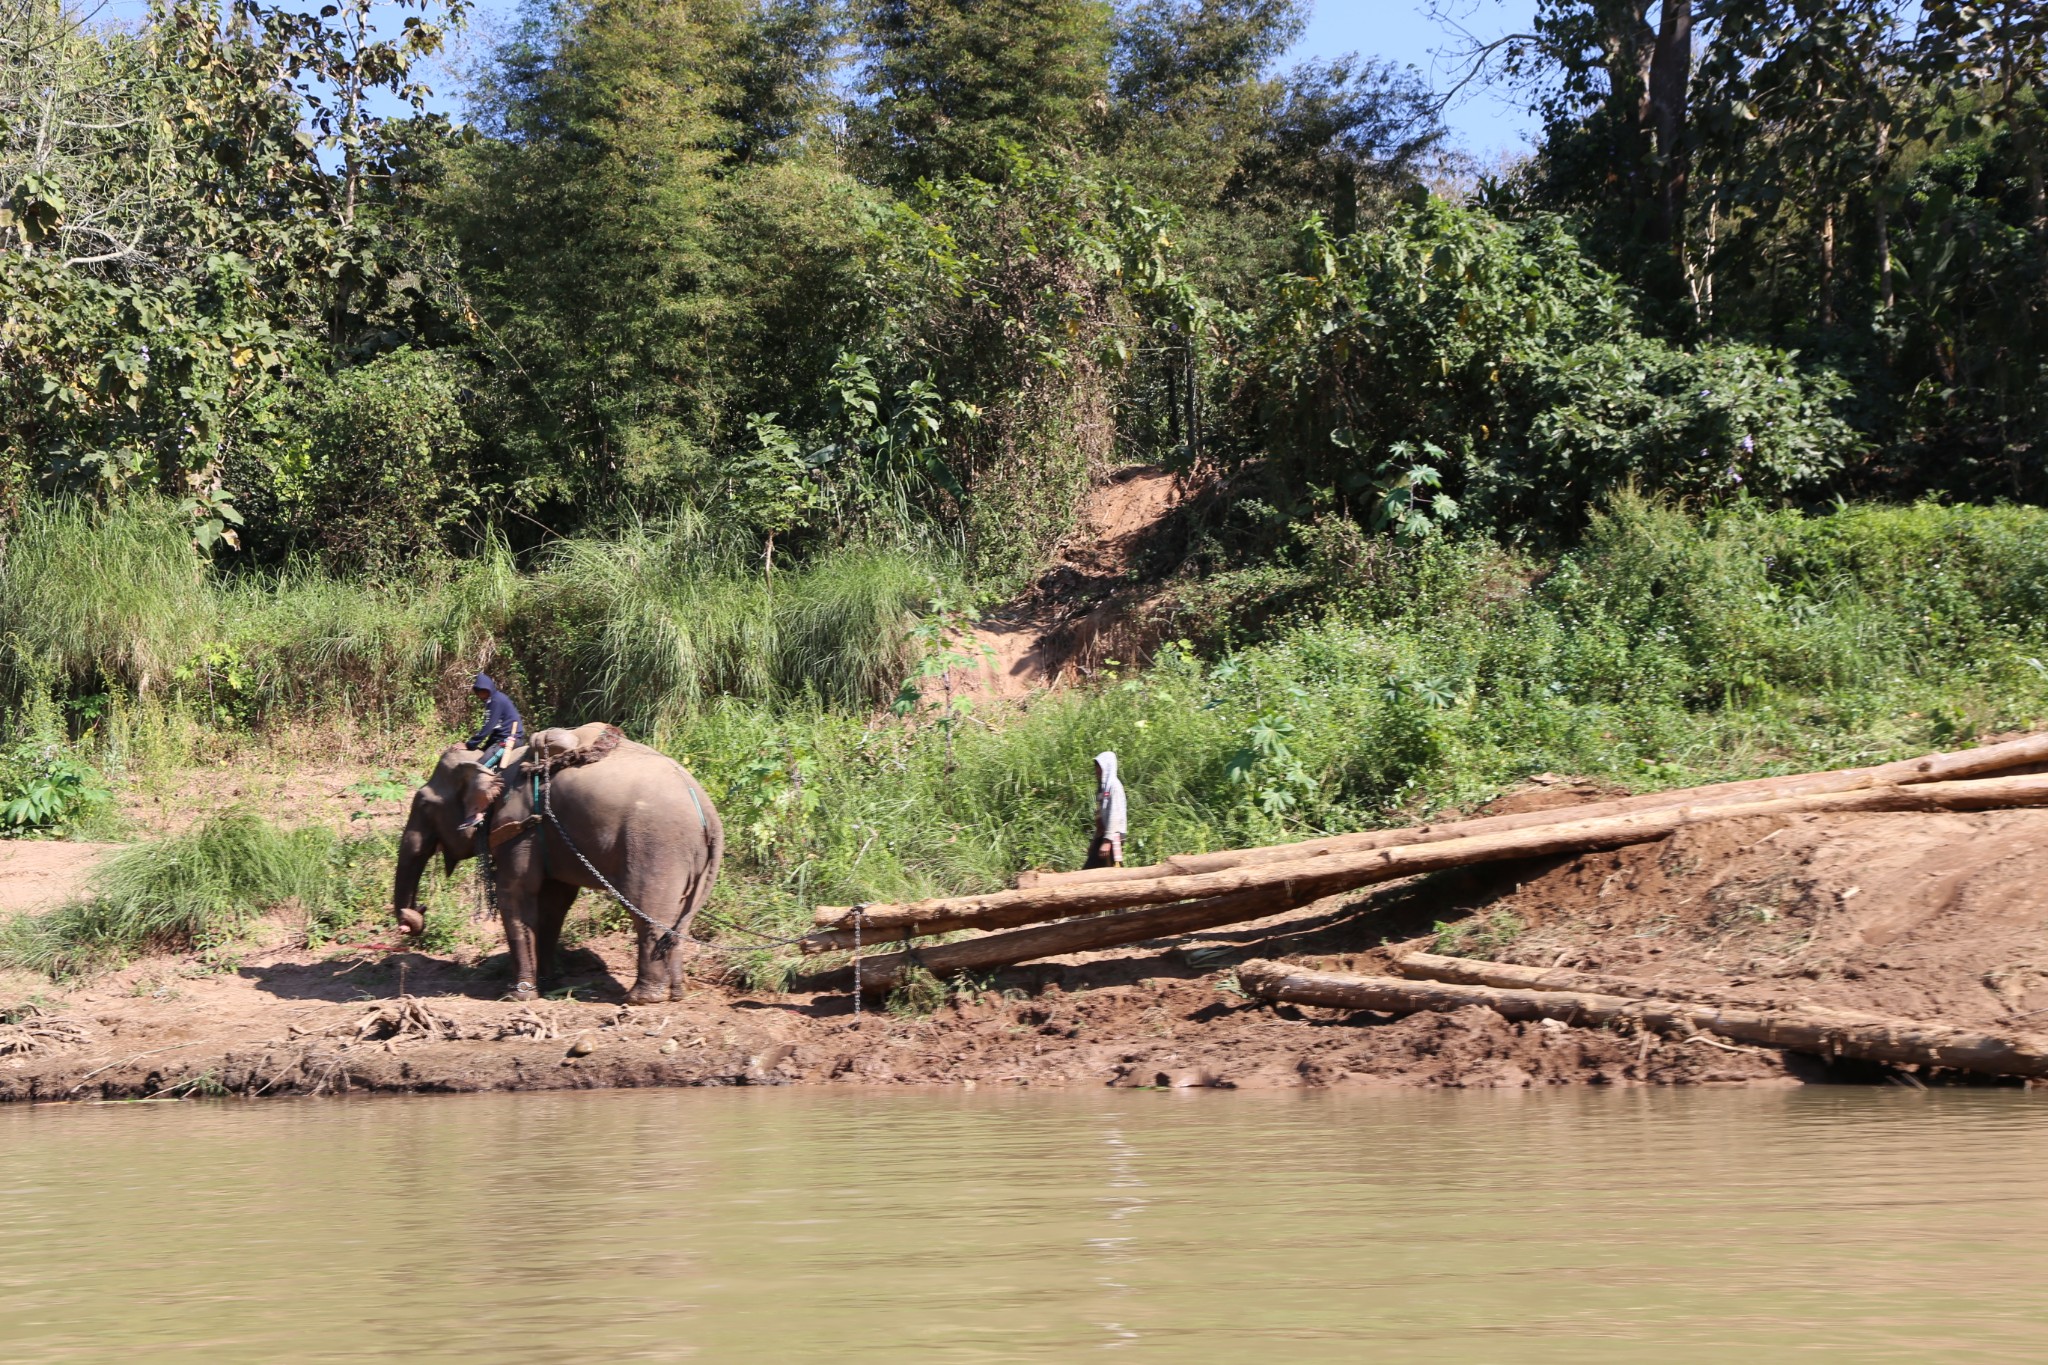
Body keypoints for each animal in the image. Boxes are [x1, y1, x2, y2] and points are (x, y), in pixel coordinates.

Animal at [393, 724, 729, 1002]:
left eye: (423, 804)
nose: (415, 914)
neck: (493, 761)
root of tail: (709, 814)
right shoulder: (543, 836)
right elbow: (554, 901)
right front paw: (547, 982)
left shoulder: (518, 825)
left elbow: (516, 894)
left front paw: (518, 995)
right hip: (687, 859)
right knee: (676, 919)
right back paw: (676, 993)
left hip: (656, 847)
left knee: (647, 911)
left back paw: (642, 998)